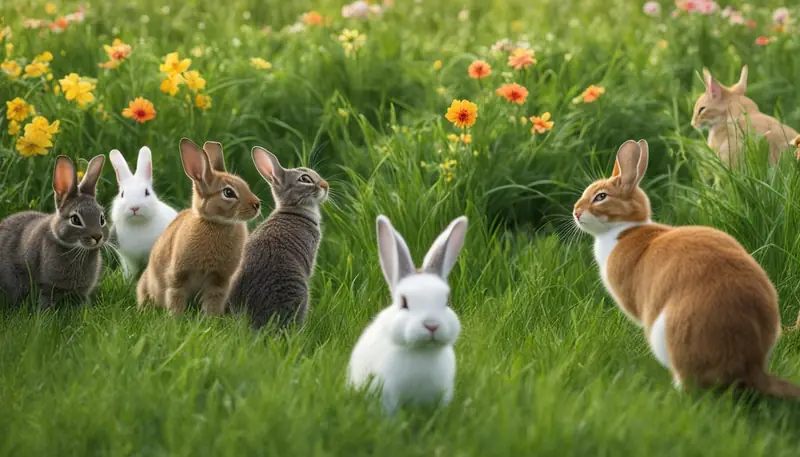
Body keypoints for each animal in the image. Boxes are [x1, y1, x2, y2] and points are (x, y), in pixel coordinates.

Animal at [0, 155, 108, 309]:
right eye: (75, 220)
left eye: (102, 218)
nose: (97, 236)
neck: (74, 248)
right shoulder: (46, 287)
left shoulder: (82, 291)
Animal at [108, 146, 178, 279]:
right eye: (122, 194)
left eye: (147, 192)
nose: (134, 207)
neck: (138, 225)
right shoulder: (128, 259)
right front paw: (128, 280)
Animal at [136, 138, 261, 316]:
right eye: (228, 193)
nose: (256, 204)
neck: (216, 223)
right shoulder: (178, 276)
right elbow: (176, 296)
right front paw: (175, 318)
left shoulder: (219, 281)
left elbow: (213, 301)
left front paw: (211, 319)